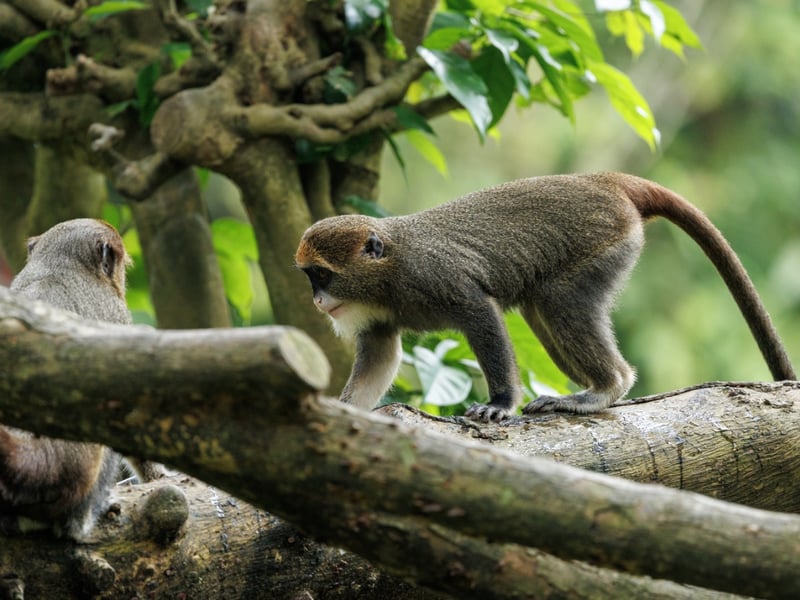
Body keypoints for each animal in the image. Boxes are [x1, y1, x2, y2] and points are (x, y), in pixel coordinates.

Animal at [295, 172, 796, 422]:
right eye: (310, 279)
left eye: (321, 275)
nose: (317, 302)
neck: (389, 269)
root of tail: (606, 181)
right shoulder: (378, 318)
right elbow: (379, 358)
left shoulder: (436, 278)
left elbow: (482, 314)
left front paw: (498, 404)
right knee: (542, 311)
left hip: (604, 242)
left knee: (559, 303)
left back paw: (605, 388)